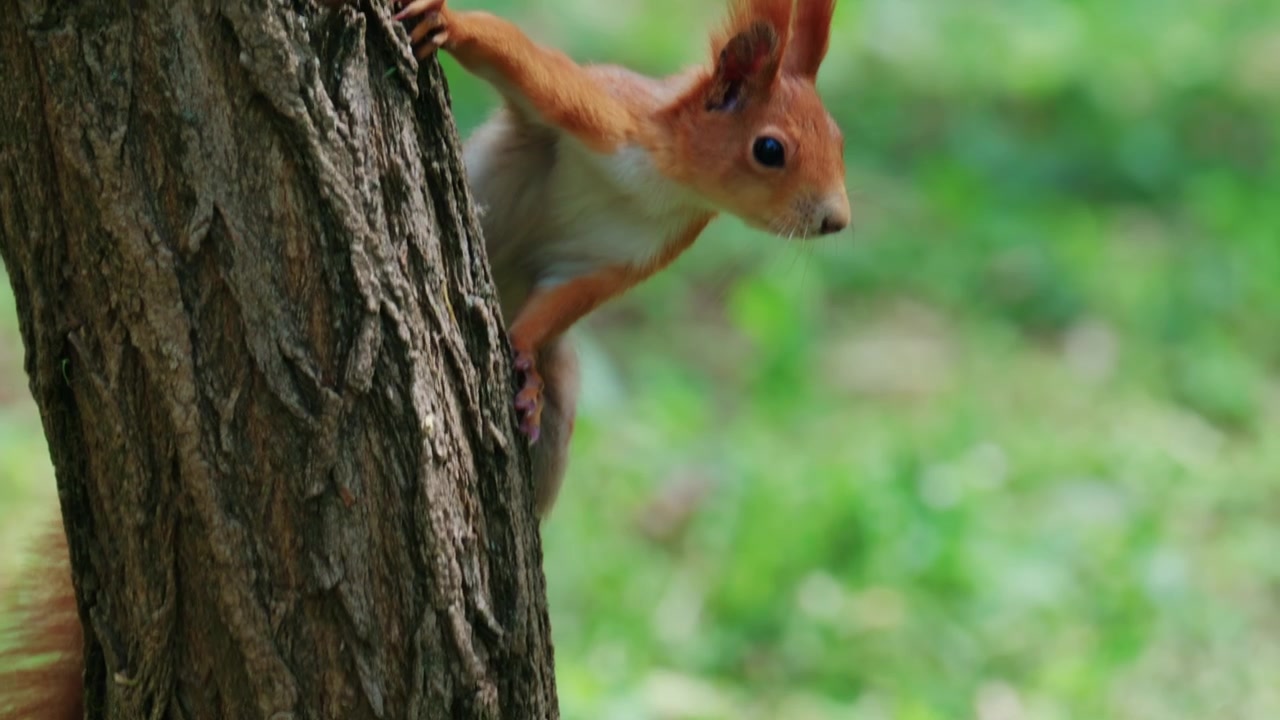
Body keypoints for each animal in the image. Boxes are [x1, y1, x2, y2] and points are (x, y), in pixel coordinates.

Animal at [0, 1, 846, 716]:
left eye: (837, 143)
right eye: (771, 150)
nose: (837, 220)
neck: (665, 184)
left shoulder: (623, 258)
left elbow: (556, 308)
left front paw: (522, 362)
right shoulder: (604, 119)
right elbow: (530, 68)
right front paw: (451, 22)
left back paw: (533, 429)